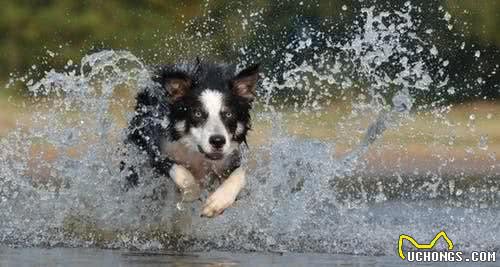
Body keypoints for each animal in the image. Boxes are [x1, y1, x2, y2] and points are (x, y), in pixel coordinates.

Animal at [123, 58, 260, 218]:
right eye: (197, 113)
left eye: (228, 114)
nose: (218, 141)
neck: (196, 153)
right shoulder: (154, 148)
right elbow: (181, 172)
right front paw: (191, 193)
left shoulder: (230, 158)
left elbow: (240, 173)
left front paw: (217, 202)